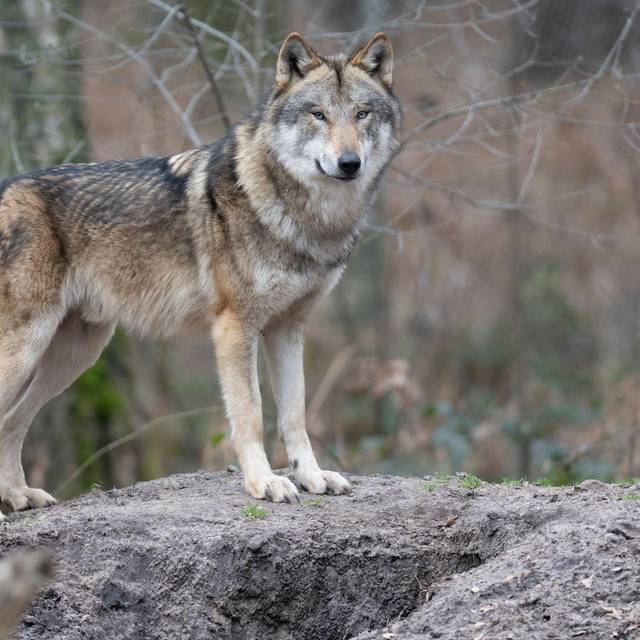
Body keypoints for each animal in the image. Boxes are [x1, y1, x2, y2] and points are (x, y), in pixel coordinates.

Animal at [0, 32, 401, 517]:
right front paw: (264, 483)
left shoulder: (288, 328)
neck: (305, 218)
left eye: (362, 113)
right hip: (29, 347)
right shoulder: (235, 327)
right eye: (318, 114)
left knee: (11, 422)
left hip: (74, 356)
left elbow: (294, 414)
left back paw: (19, 495)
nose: (349, 163)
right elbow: (251, 415)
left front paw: (311, 476)